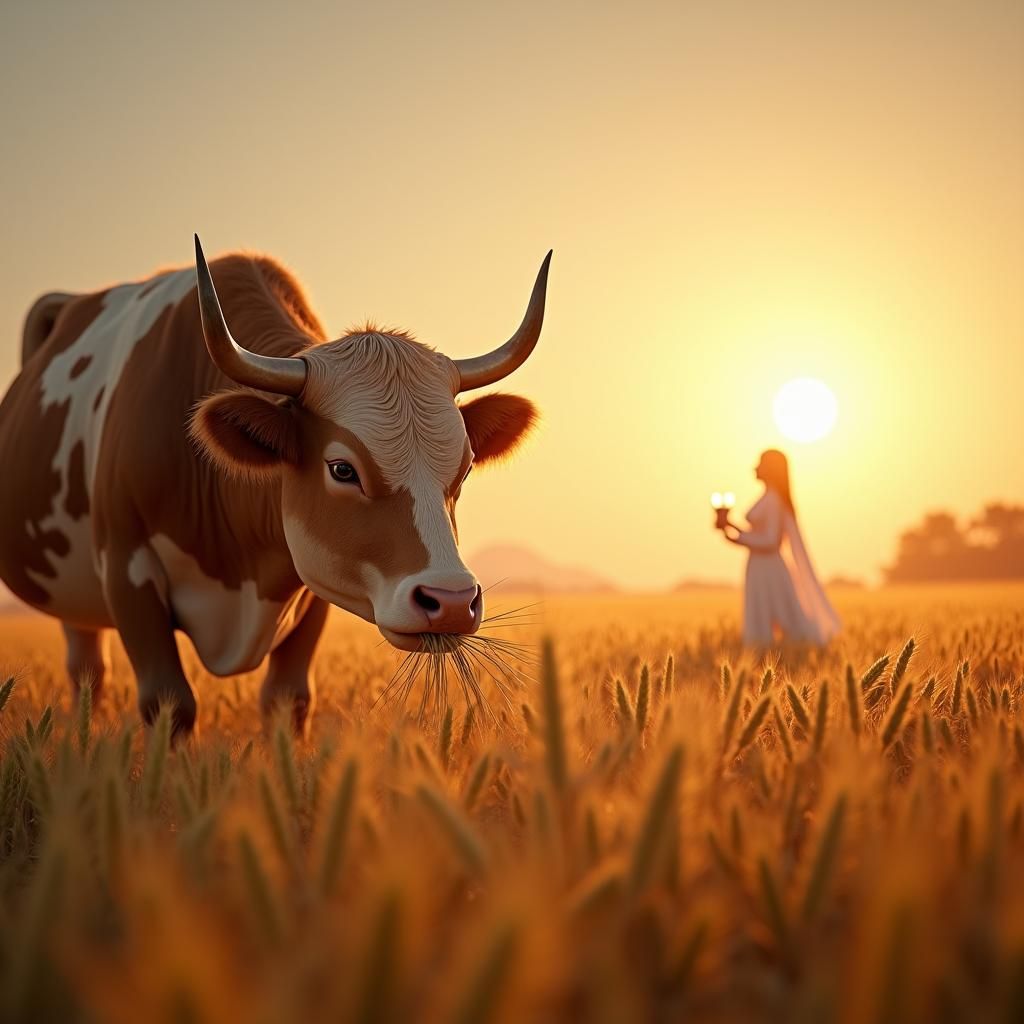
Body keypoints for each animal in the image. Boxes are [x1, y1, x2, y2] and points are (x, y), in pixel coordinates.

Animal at [0, 237, 550, 735]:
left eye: (465, 468)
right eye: (342, 470)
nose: (452, 601)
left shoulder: (316, 584)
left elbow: (288, 699)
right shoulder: (126, 566)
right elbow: (169, 703)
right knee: (87, 671)